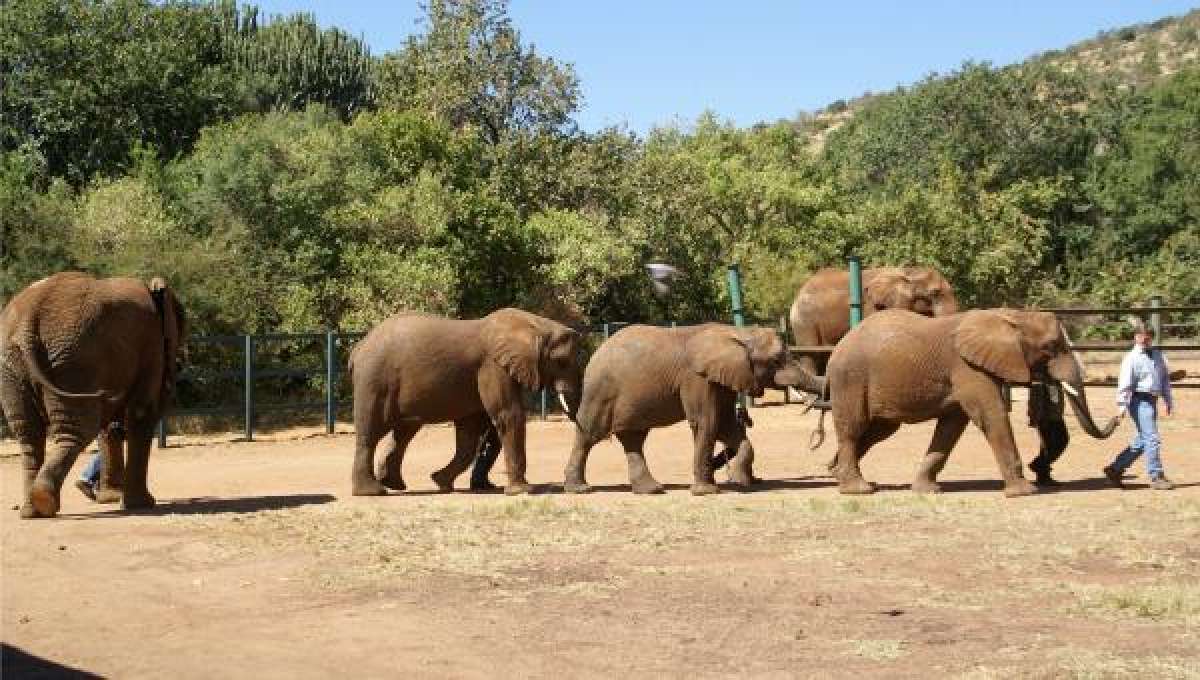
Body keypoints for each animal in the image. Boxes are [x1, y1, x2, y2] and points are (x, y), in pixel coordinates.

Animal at [0, 272, 186, 518]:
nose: (180, 364)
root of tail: (28, 321)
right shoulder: (152, 346)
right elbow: (140, 413)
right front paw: (142, 504)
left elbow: (111, 426)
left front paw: (112, 499)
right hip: (76, 359)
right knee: (79, 429)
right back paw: (43, 502)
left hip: (16, 365)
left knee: (29, 433)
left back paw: (32, 510)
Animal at [349, 308, 583, 496]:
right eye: (562, 362)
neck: (536, 325)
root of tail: (359, 346)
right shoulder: (492, 366)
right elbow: (509, 415)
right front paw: (523, 491)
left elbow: (470, 433)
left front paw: (441, 482)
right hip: (375, 380)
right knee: (371, 432)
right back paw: (372, 492)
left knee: (404, 431)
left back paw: (394, 484)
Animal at [563, 323, 809, 496]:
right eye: (776, 360)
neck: (738, 333)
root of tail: (597, 349)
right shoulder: (696, 378)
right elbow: (706, 421)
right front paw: (707, 492)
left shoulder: (721, 378)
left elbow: (726, 424)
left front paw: (740, 481)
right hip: (600, 391)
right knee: (589, 434)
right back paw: (579, 489)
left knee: (634, 439)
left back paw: (652, 490)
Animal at [825, 308, 1119, 498]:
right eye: (1050, 347)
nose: (1118, 418)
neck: (1012, 316)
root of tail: (840, 343)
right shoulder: (968, 368)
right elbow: (991, 416)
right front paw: (1024, 492)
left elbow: (951, 427)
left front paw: (927, 490)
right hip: (850, 378)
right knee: (853, 428)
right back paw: (858, 490)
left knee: (877, 431)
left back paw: (836, 472)